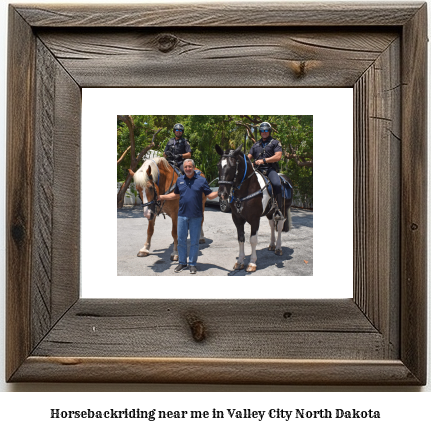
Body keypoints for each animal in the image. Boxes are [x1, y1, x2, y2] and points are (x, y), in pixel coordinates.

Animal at [216, 145, 294, 274]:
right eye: (218, 165)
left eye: (232, 166)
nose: (222, 194)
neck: (246, 189)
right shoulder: (237, 218)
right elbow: (241, 239)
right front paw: (240, 262)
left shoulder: (254, 219)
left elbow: (253, 240)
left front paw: (252, 263)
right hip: (269, 212)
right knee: (272, 225)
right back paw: (271, 245)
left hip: (282, 210)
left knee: (279, 226)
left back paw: (278, 248)